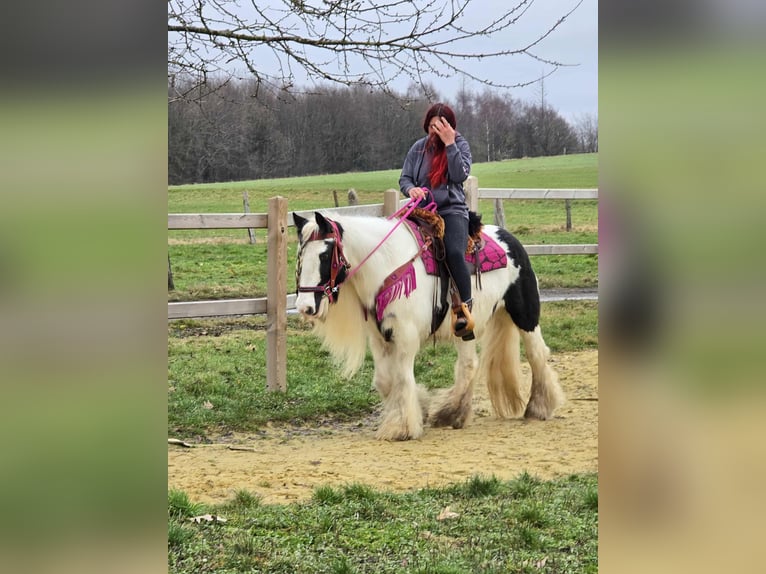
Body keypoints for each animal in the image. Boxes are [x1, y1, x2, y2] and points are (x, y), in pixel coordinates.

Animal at [293, 208, 564, 441]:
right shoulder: (379, 338)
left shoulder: (406, 336)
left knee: (537, 353)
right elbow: (384, 380)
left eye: (325, 255)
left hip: (525, 314)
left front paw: (402, 428)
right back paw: (452, 413)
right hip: (466, 327)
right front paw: (419, 407)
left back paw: (538, 408)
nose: (305, 306)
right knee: (469, 365)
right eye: (300, 255)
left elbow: (402, 378)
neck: (389, 265)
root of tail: (510, 239)